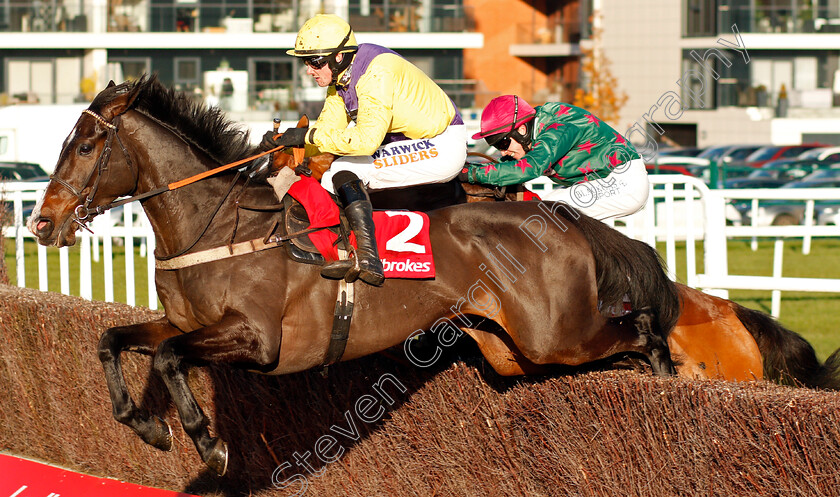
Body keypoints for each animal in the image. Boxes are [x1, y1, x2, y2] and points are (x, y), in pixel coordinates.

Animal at [29, 74, 684, 472]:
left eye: (84, 147)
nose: (42, 223)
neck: (217, 230)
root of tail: (560, 217)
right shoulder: (184, 324)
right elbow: (112, 340)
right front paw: (146, 426)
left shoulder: (258, 338)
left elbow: (168, 359)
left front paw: (207, 443)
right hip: (513, 352)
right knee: (614, 350)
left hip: (556, 336)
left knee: (640, 332)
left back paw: (666, 377)